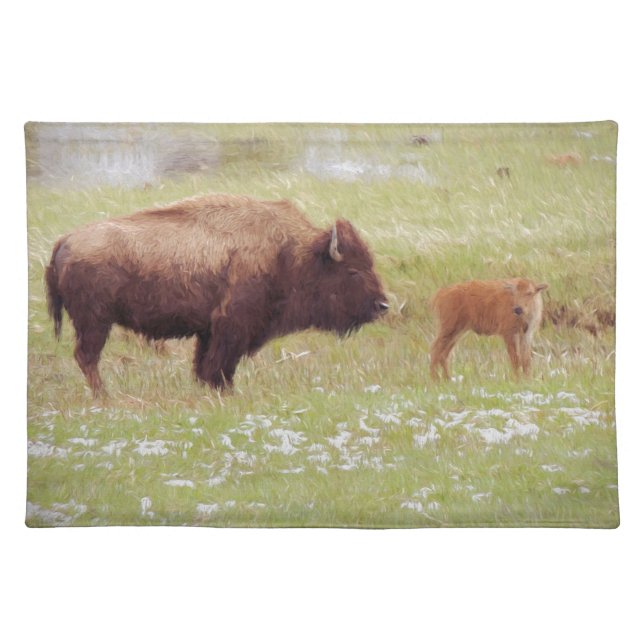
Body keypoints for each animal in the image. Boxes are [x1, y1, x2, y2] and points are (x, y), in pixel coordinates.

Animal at [45, 194, 389, 395]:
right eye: (353, 271)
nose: (382, 304)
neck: (291, 253)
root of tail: (65, 239)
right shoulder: (231, 326)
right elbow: (219, 365)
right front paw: (225, 393)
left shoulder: (209, 330)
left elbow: (204, 365)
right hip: (94, 322)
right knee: (87, 357)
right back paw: (104, 396)